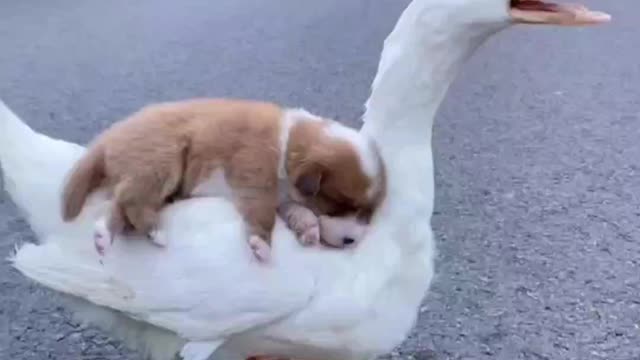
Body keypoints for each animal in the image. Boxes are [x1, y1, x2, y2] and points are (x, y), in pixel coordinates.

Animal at [60, 98, 384, 262]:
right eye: (339, 206)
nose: (352, 241)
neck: (288, 143)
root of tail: (108, 137)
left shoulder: (284, 196)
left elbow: (298, 211)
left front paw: (308, 230)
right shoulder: (254, 174)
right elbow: (262, 212)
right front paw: (261, 244)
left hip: (147, 173)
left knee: (119, 203)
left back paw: (104, 236)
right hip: (160, 159)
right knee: (131, 199)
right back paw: (156, 231)